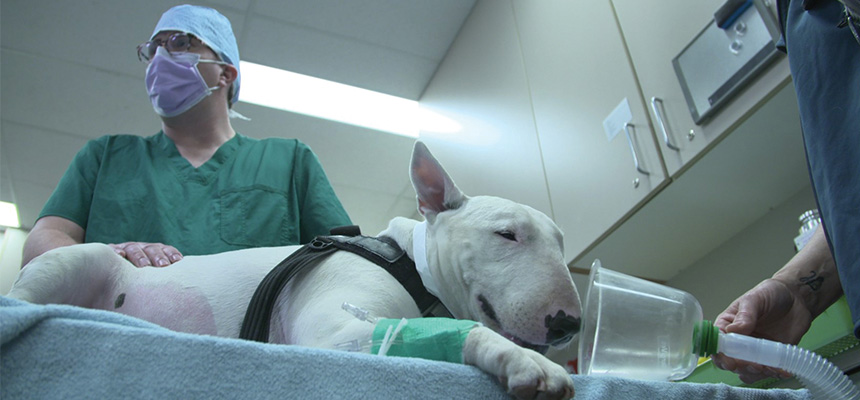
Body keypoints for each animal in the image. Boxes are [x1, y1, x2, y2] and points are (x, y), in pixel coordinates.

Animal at [6, 141, 580, 400]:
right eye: (506, 235)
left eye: (561, 242)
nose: (569, 324)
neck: (410, 264)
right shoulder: (334, 335)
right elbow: (457, 332)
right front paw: (530, 364)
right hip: (75, 259)